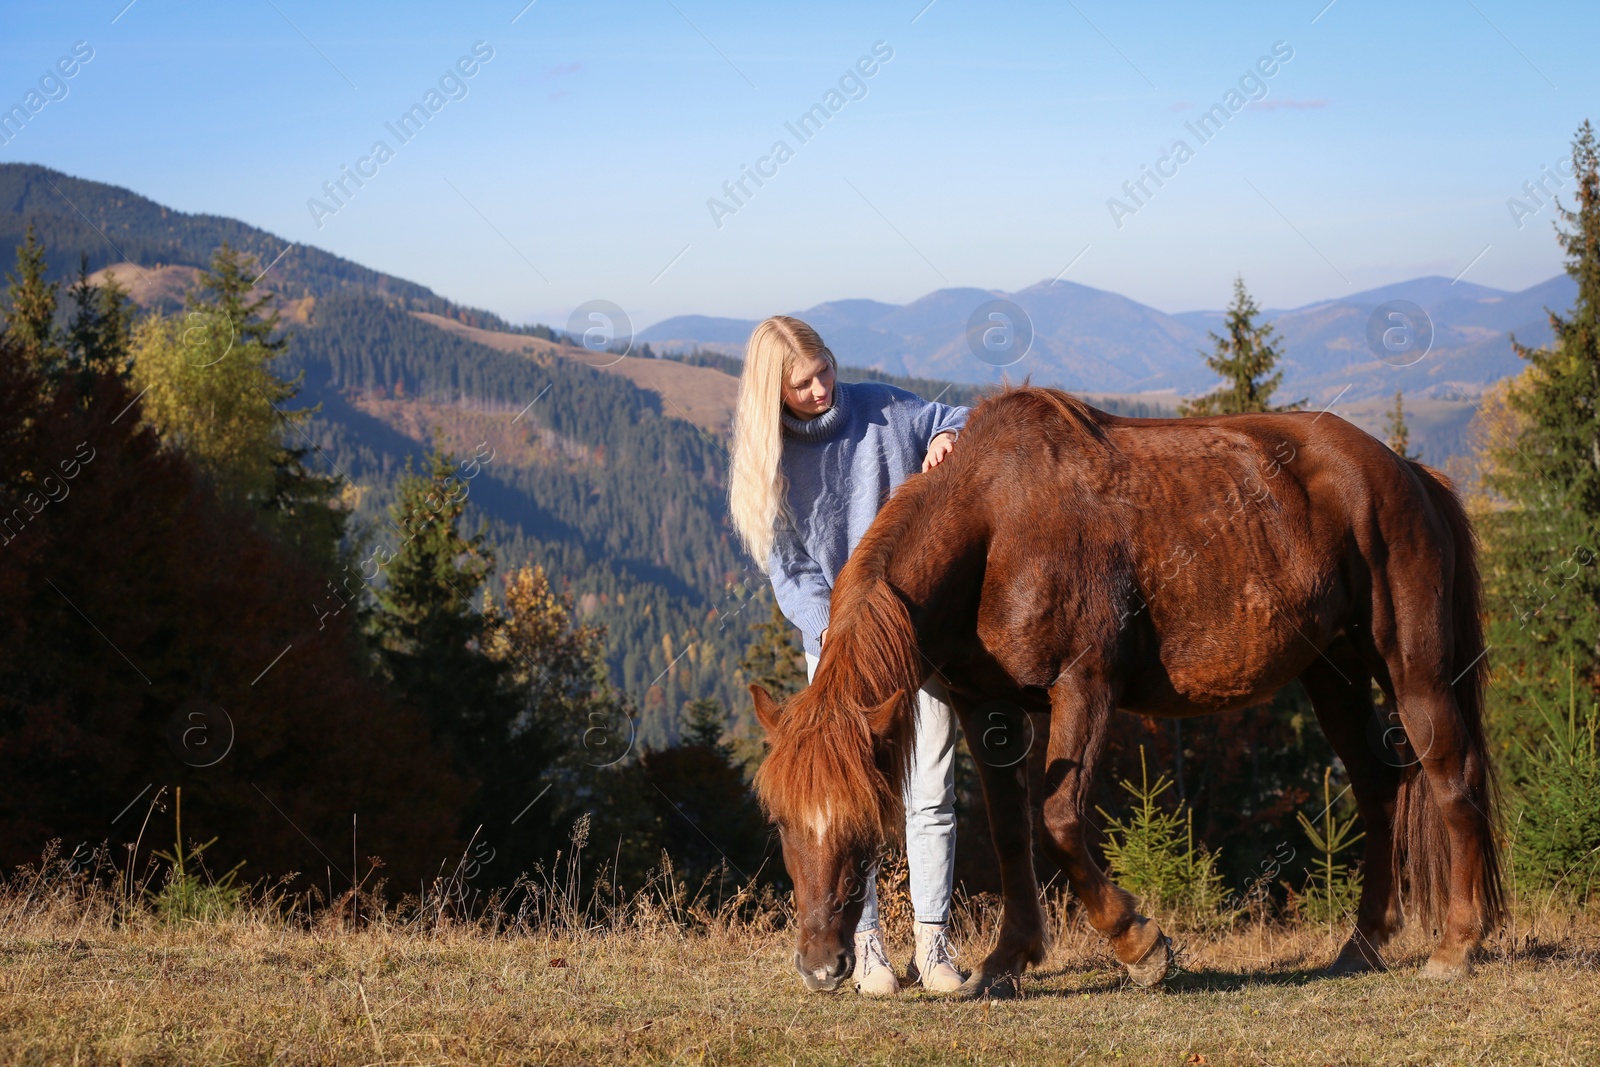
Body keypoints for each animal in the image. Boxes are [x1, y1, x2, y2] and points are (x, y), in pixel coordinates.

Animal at [748, 388, 1497, 998]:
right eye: (781, 822)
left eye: (864, 829)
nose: (820, 967)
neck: (997, 525)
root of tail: (1406, 471)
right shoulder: (988, 709)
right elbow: (1012, 831)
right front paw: (1007, 960)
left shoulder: (1085, 686)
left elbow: (1057, 821)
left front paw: (1140, 944)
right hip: (1330, 672)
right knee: (1377, 787)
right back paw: (1363, 944)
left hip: (1413, 669)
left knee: (1450, 776)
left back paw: (1456, 945)